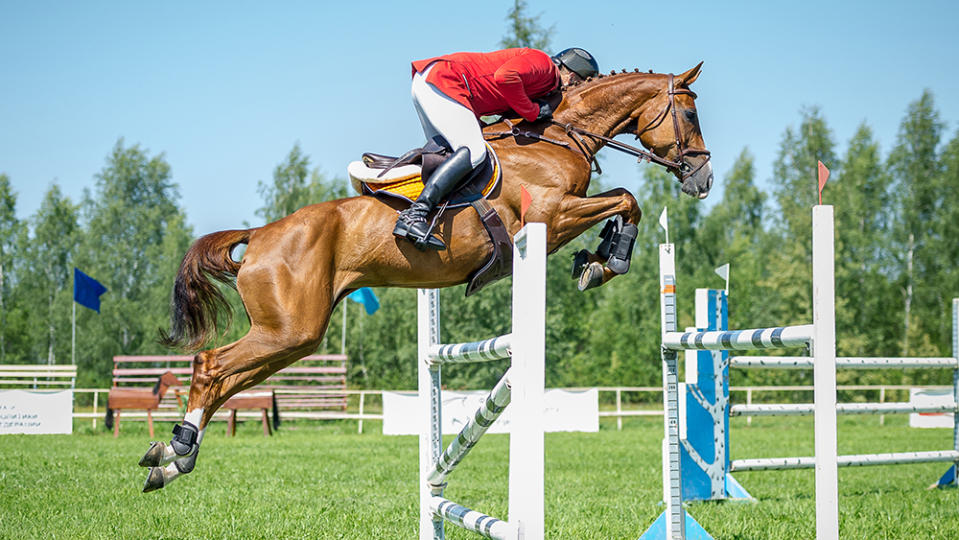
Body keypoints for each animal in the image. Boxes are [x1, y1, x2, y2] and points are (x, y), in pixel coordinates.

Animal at [139, 61, 716, 492]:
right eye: (689, 112)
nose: (703, 178)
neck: (558, 137)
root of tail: (259, 235)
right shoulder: (550, 215)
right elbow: (626, 199)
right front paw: (605, 261)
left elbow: (623, 200)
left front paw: (596, 258)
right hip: (290, 329)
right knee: (212, 367)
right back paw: (179, 449)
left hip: (291, 337)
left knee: (228, 379)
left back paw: (173, 459)